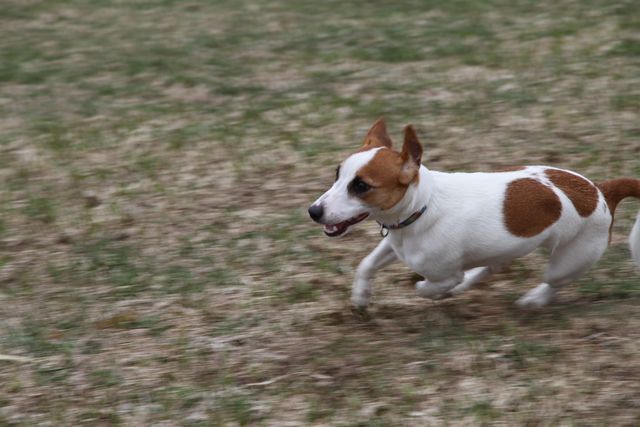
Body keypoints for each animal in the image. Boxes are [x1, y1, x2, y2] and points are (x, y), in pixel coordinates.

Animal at [308, 118, 640, 309]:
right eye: (337, 175)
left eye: (361, 186)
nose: (313, 211)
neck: (423, 206)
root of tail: (601, 190)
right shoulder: (392, 243)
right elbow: (366, 265)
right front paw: (360, 297)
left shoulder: (442, 273)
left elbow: (425, 287)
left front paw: (438, 292)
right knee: (496, 264)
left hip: (569, 260)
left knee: (553, 282)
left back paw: (534, 299)